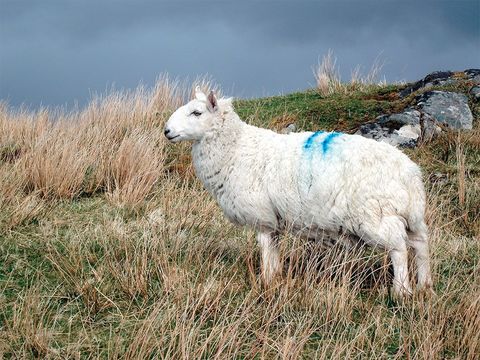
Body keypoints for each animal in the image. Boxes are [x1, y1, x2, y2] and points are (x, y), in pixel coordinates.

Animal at [163, 88, 434, 296]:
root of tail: (409, 172)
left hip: (376, 215)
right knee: (420, 244)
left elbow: (266, 250)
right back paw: (424, 285)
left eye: (197, 113)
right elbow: (273, 250)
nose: (166, 131)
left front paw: (266, 281)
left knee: (399, 249)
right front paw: (274, 277)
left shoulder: (262, 217)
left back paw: (401, 291)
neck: (236, 147)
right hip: (410, 216)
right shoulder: (273, 220)